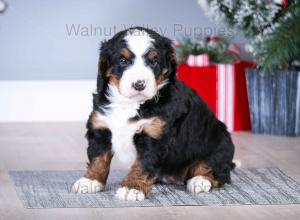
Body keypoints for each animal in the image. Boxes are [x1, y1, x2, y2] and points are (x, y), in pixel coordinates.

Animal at [71, 26, 236, 200]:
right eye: (123, 61)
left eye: (153, 61)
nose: (139, 84)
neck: (130, 104)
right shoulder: (101, 127)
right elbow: (98, 157)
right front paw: (90, 181)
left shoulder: (154, 136)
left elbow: (142, 165)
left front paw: (132, 188)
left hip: (220, 143)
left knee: (216, 170)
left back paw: (200, 180)